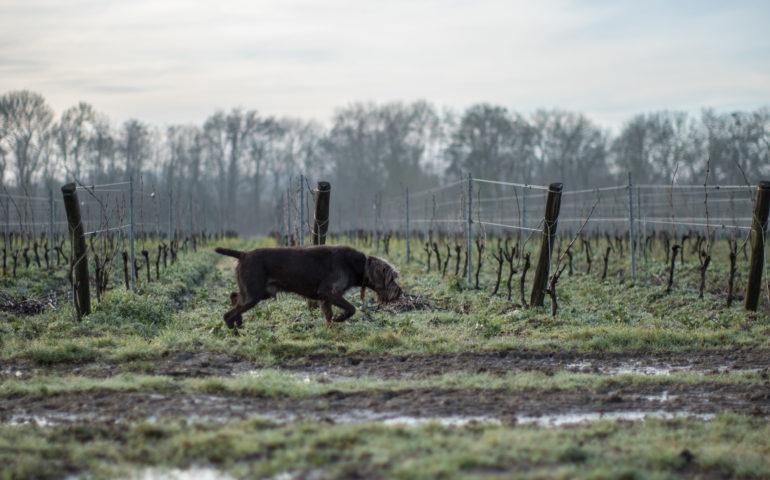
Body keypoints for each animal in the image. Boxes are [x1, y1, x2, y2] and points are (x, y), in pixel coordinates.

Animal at [213, 246, 400, 328]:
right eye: (391, 278)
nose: (400, 292)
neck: (356, 265)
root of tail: (243, 254)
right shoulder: (328, 292)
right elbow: (351, 309)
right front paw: (339, 318)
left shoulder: (326, 298)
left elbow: (328, 315)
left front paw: (331, 326)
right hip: (254, 294)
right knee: (228, 314)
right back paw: (235, 331)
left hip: (259, 292)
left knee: (234, 296)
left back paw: (239, 323)